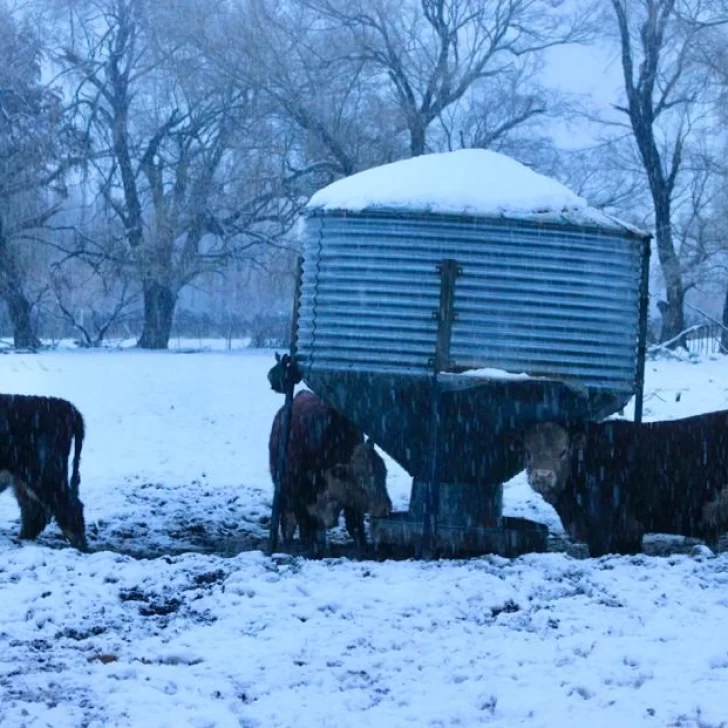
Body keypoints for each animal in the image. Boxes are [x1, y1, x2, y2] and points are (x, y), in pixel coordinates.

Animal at [0, 396, 87, 548]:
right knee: (33, 510)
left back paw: (80, 545)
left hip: (43, 473)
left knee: (69, 507)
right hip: (24, 478)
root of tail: (67, 406)